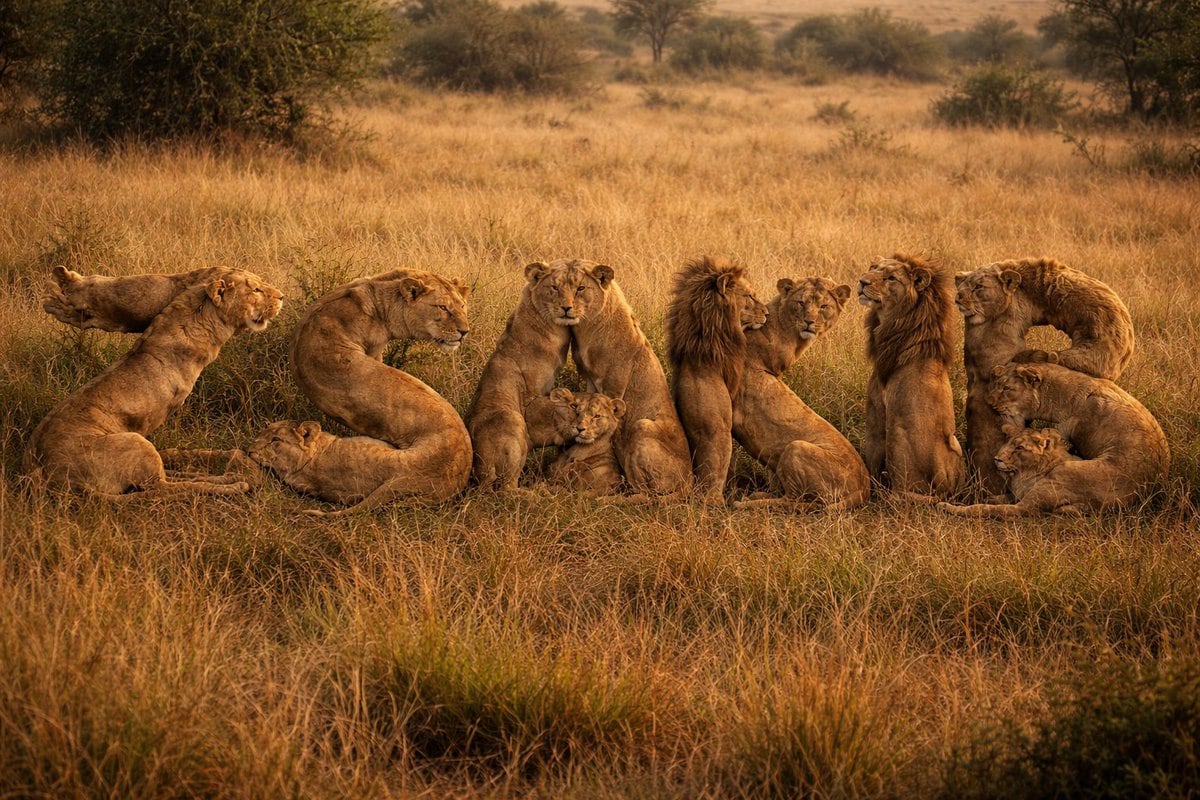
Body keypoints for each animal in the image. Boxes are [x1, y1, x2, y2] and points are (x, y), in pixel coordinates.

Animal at [466, 260, 599, 491]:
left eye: (577, 288)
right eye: (554, 288)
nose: (567, 308)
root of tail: (480, 471)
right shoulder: (531, 396)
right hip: (513, 418)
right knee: (507, 488)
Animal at [568, 260, 693, 496]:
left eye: (580, 288)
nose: (565, 308)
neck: (588, 327)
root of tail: (690, 482)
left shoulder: (613, 385)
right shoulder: (590, 381)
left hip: (642, 425)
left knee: (647, 493)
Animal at [732, 277, 871, 510]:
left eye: (824, 306)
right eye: (801, 303)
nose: (809, 322)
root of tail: (865, 488)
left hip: (796, 448)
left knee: (798, 503)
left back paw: (748, 503)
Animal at [858, 255, 965, 497]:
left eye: (891, 278)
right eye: (873, 268)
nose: (862, 281)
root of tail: (942, 485)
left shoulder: (876, 412)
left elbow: (871, 456)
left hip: (896, 434)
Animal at [937, 427, 1134, 517]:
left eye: (1020, 447)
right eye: (1007, 443)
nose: (996, 459)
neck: (1024, 474)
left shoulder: (1024, 508)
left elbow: (984, 508)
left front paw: (948, 506)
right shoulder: (1017, 495)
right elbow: (992, 498)